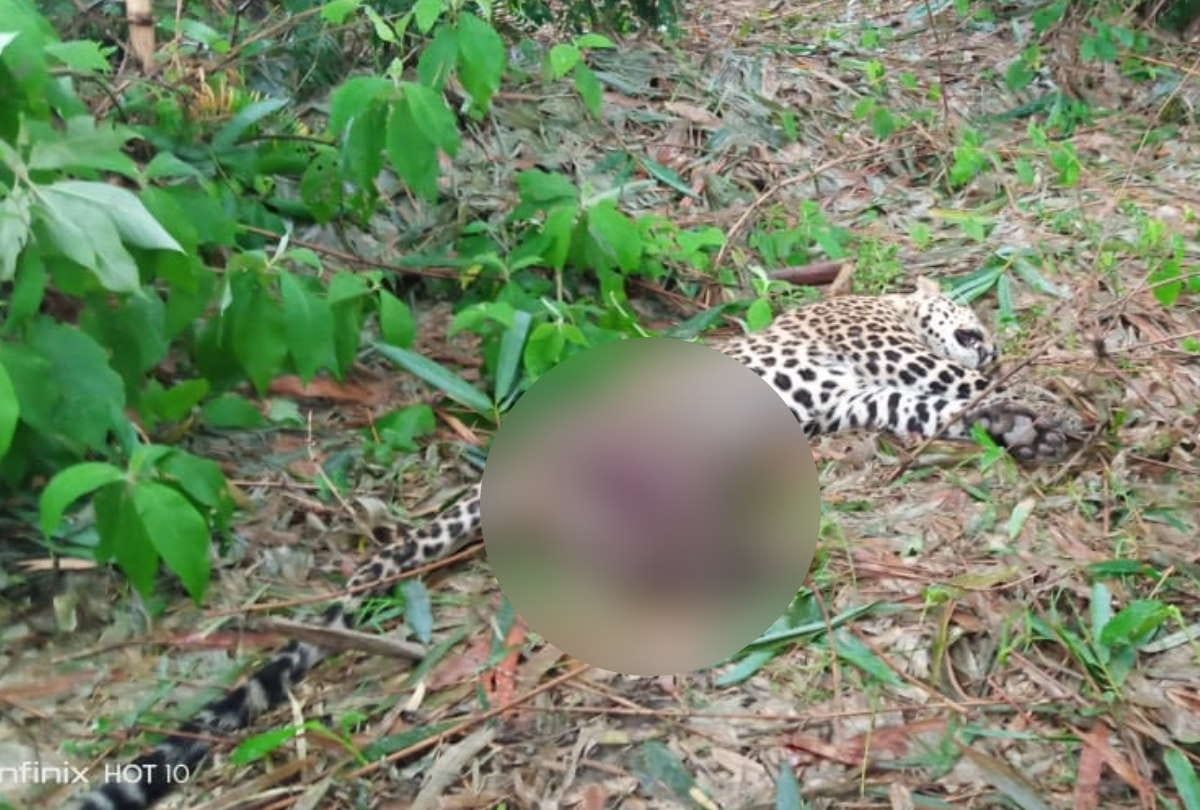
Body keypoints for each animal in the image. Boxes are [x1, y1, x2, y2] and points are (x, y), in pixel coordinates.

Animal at [72, 276, 1074, 810]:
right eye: (970, 313)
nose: (989, 338)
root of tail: (501, 476)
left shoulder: (882, 397)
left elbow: (952, 411)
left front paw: (1028, 423)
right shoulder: (897, 362)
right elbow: (960, 389)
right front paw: (1045, 400)